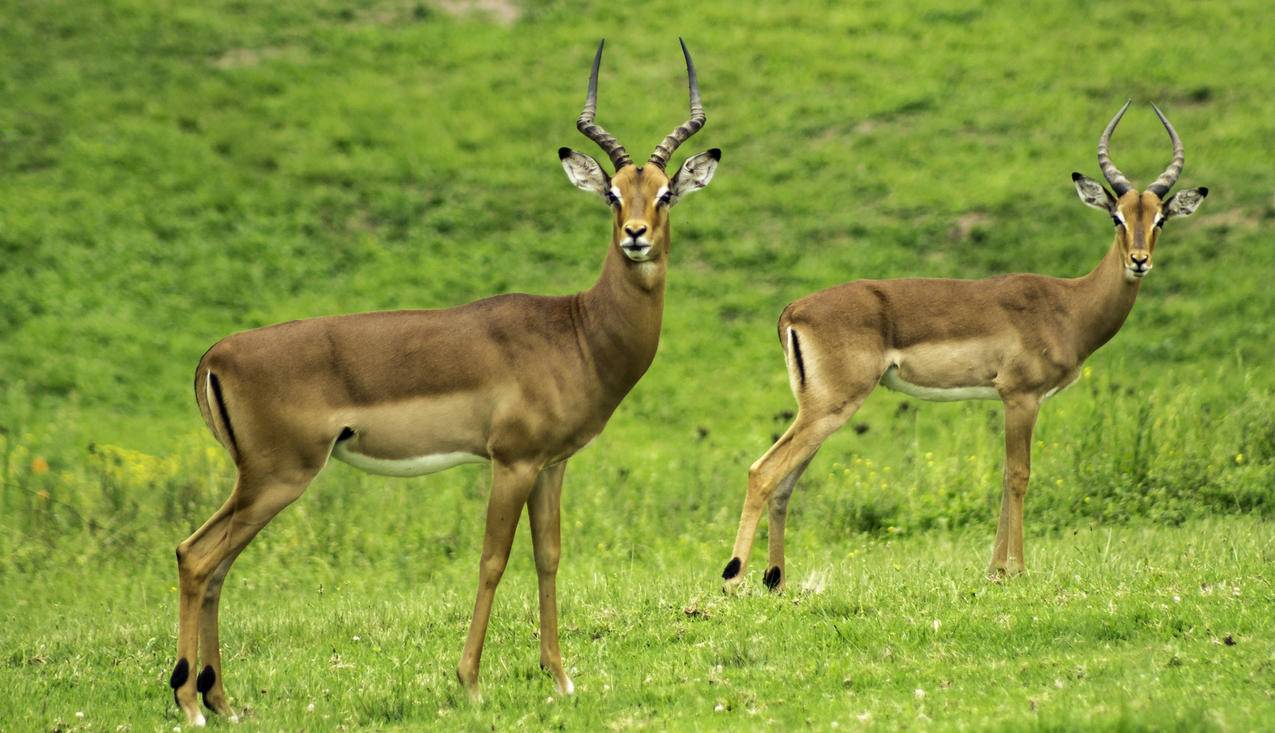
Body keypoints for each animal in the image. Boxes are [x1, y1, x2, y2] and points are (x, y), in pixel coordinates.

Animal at [170, 41, 724, 729]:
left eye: (667, 193)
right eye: (612, 195)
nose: (636, 236)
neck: (576, 331)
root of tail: (215, 356)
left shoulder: (552, 466)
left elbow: (548, 557)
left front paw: (561, 679)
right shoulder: (510, 463)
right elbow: (492, 560)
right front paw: (470, 684)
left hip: (257, 482)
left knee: (213, 563)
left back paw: (221, 700)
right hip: (277, 477)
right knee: (197, 556)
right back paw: (190, 703)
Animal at [724, 101, 1208, 591]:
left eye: (1160, 218)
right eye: (1117, 217)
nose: (1139, 261)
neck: (1068, 305)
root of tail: (792, 310)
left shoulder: (1014, 400)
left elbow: (1004, 477)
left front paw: (995, 571)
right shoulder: (1020, 397)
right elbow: (1019, 475)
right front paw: (1017, 570)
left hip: (820, 412)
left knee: (784, 483)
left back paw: (775, 580)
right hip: (830, 409)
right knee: (762, 472)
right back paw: (733, 578)